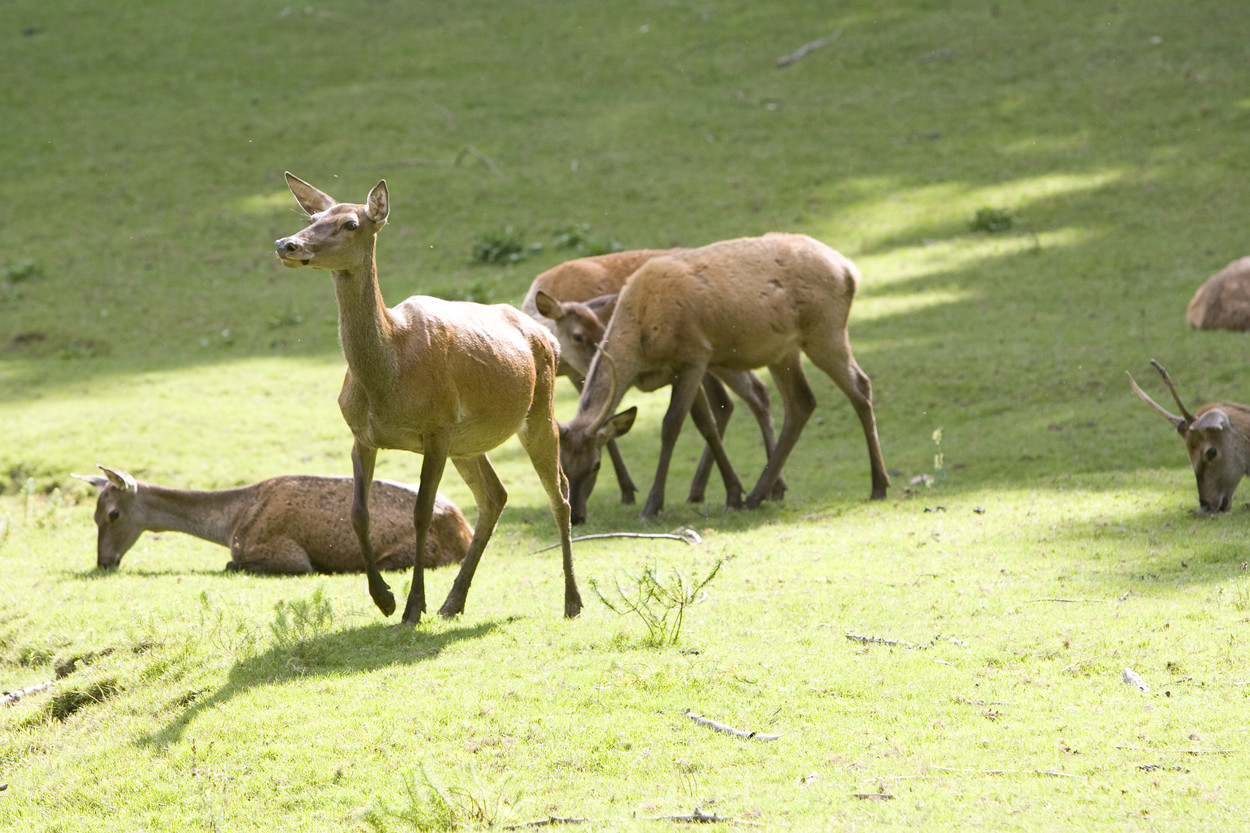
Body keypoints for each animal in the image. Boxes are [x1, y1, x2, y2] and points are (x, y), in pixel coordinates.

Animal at [74, 465, 471, 573]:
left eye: (112, 514)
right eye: (92, 515)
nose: (103, 561)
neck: (232, 523)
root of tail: (465, 531)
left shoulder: (283, 551)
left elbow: (231, 564)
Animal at [274, 172, 581, 625]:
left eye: (350, 223)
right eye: (312, 218)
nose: (287, 245)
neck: (387, 381)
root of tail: (547, 336)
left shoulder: (436, 429)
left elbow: (421, 513)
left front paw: (412, 606)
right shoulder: (361, 435)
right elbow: (358, 513)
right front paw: (384, 599)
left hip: (539, 411)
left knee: (559, 492)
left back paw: (572, 601)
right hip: (467, 441)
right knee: (495, 496)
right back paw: (453, 603)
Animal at [521, 252, 785, 522]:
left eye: (597, 465)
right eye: (578, 336)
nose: (577, 517)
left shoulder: (686, 367)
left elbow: (691, 424)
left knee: (748, 395)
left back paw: (770, 488)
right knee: (743, 397)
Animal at [558, 233, 890, 523]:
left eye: (596, 465)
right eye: (562, 466)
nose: (576, 516)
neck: (641, 335)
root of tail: (849, 269)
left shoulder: (694, 354)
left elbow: (672, 425)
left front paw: (652, 506)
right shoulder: (686, 367)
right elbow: (707, 424)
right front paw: (734, 495)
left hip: (825, 331)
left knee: (860, 386)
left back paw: (878, 485)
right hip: (783, 351)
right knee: (801, 402)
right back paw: (757, 495)